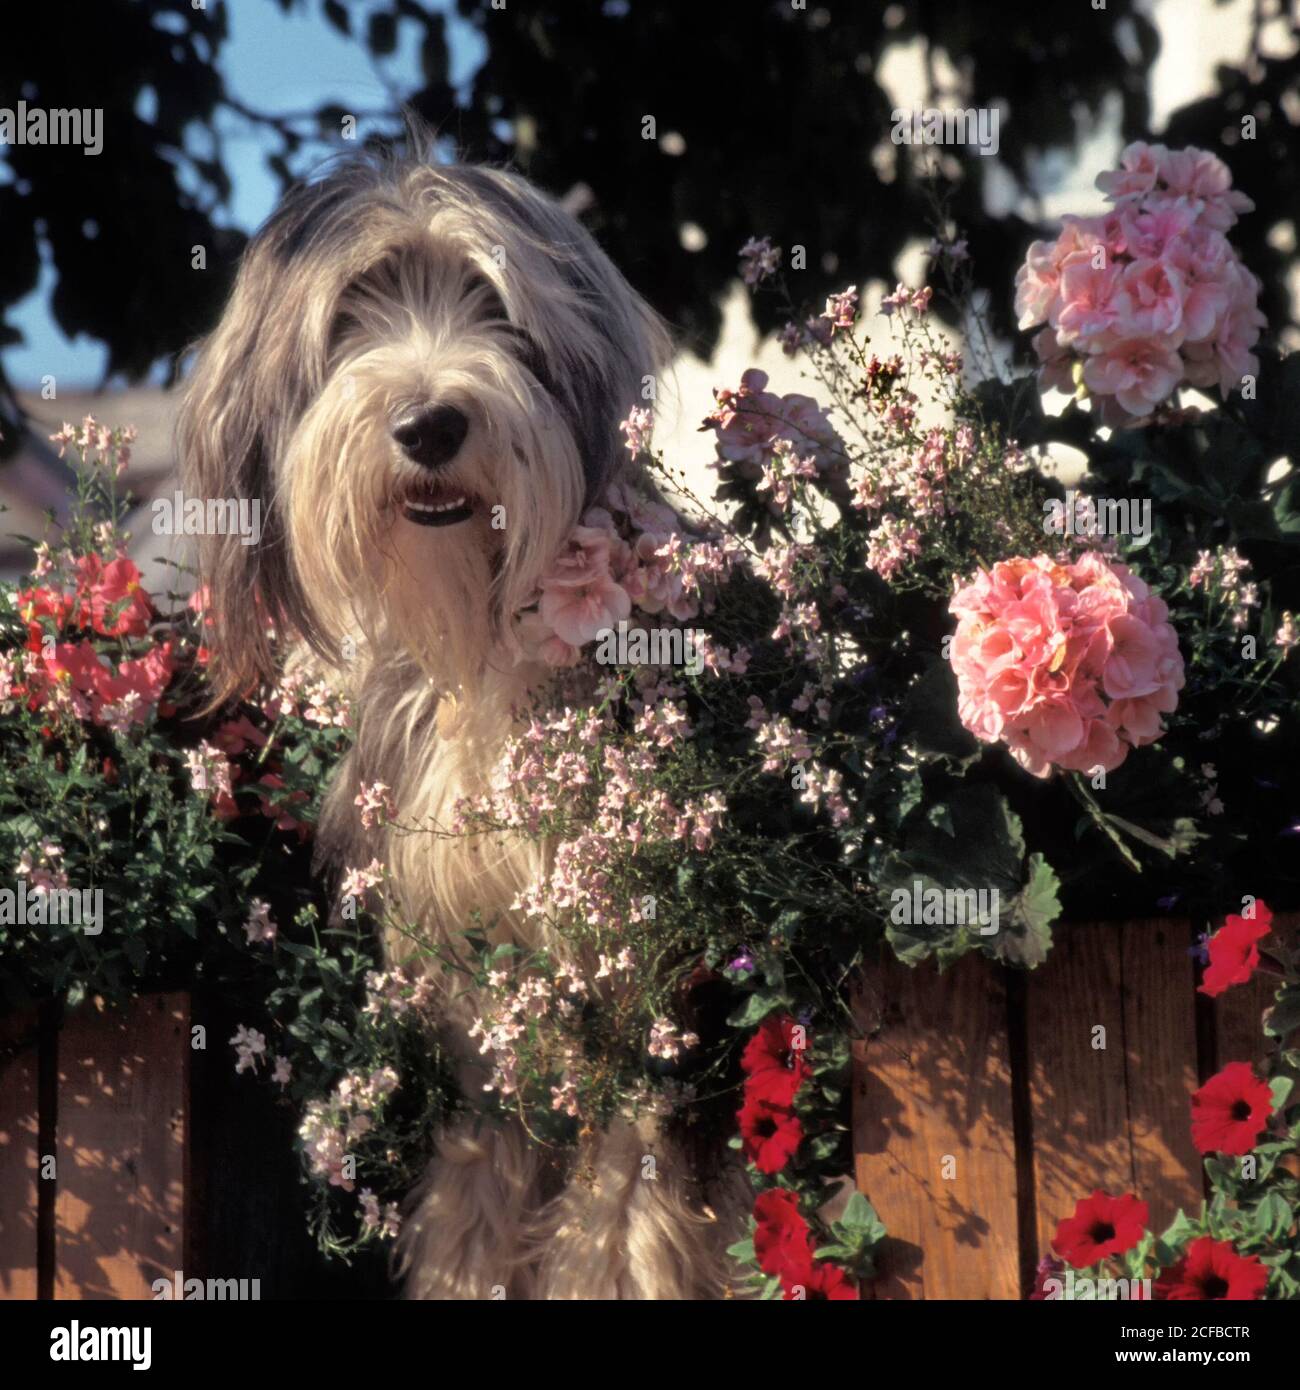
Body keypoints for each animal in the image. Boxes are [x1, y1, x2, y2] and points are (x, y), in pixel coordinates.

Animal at [177, 143, 739, 1301]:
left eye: (491, 298)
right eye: (352, 310)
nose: (431, 423)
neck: (476, 646)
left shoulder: (633, 975)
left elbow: (622, 1200)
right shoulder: (470, 979)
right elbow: (481, 1177)